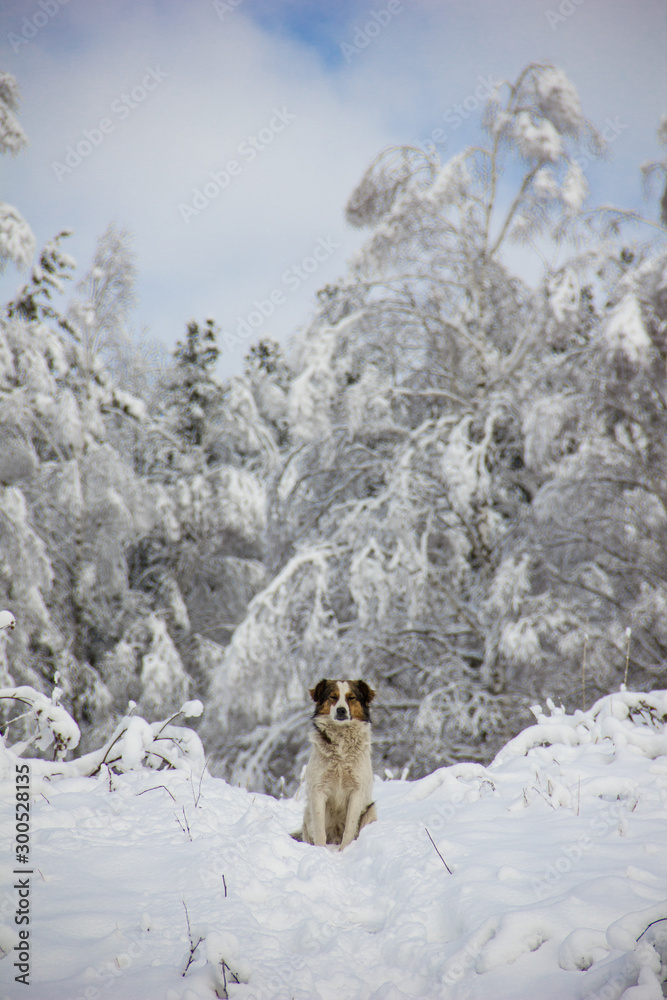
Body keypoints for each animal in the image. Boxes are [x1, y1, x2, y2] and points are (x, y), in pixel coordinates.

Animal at [302, 676, 378, 848]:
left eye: (351, 698)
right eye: (333, 697)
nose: (341, 710)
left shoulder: (357, 791)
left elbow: (350, 827)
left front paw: (345, 850)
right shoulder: (318, 790)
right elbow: (319, 830)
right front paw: (320, 850)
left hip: (371, 809)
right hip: (307, 814)